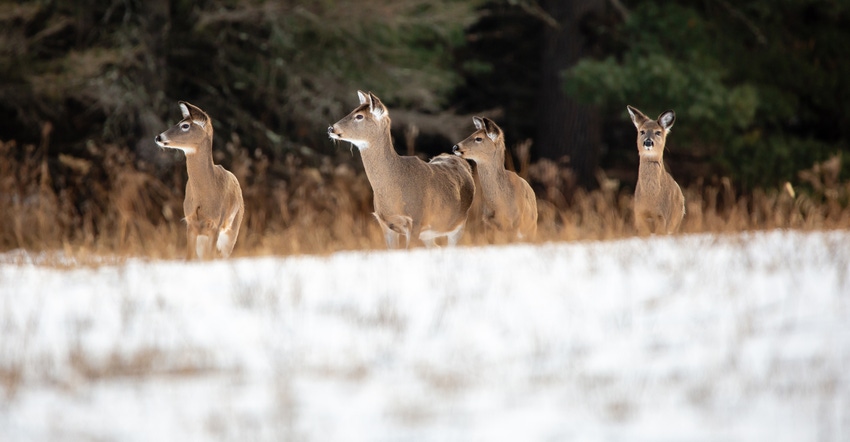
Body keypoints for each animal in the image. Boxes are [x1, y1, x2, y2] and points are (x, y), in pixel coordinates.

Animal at [155, 101, 243, 258]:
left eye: (185, 125)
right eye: (179, 121)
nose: (158, 137)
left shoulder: (215, 225)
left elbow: (209, 258)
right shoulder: (191, 223)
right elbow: (189, 257)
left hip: (232, 231)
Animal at [326, 90, 474, 249]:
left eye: (359, 116)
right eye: (353, 110)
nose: (331, 128)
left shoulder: (416, 220)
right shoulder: (385, 224)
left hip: (459, 224)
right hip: (430, 234)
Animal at [628, 105, 684, 235]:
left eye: (658, 132)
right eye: (642, 131)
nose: (648, 142)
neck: (651, 198)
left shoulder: (663, 217)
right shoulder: (639, 216)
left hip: (676, 223)